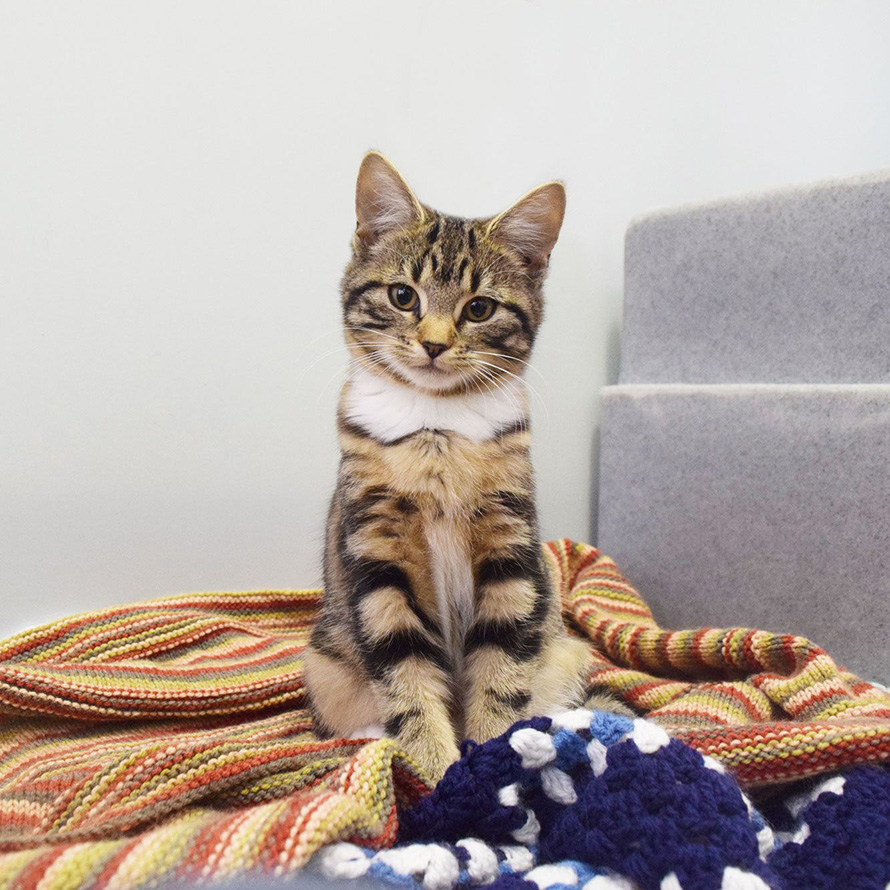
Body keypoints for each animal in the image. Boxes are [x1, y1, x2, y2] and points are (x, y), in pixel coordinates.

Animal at [304, 153, 624, 776]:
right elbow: (402, 669)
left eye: (479, 308)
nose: (432, 344)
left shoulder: (510, 544)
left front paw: (494, 752)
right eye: (403, 296)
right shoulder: (375, 553)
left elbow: (501, 665)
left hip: (566, 647)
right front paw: (433, 765)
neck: (438, 426)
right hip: (322, 663)